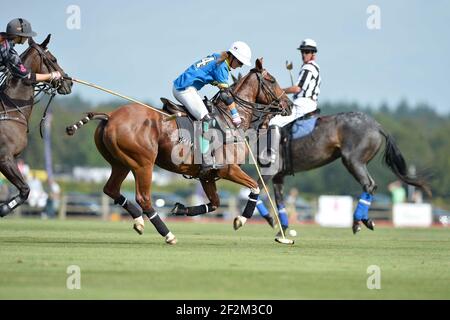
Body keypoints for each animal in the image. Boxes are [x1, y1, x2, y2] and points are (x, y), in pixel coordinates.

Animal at [0, 35, 71, 218]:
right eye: (53, 59)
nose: (69, 82)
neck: (10, 110)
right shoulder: (5, 157)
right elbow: (25, 190)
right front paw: (3, 209)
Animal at [66, 58, 292, 245]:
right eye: (272, 80)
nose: (288, 105)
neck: (229, 119)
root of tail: (109, 116)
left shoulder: (206, 176)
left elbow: (215, 204)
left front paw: (180, 208)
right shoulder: (228, 169)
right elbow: (254, 187)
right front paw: (241, 219)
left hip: (120, 163)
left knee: (111, 190)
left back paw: (139, 221)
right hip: (142, 164)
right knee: (144, 198)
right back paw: (167, 234)